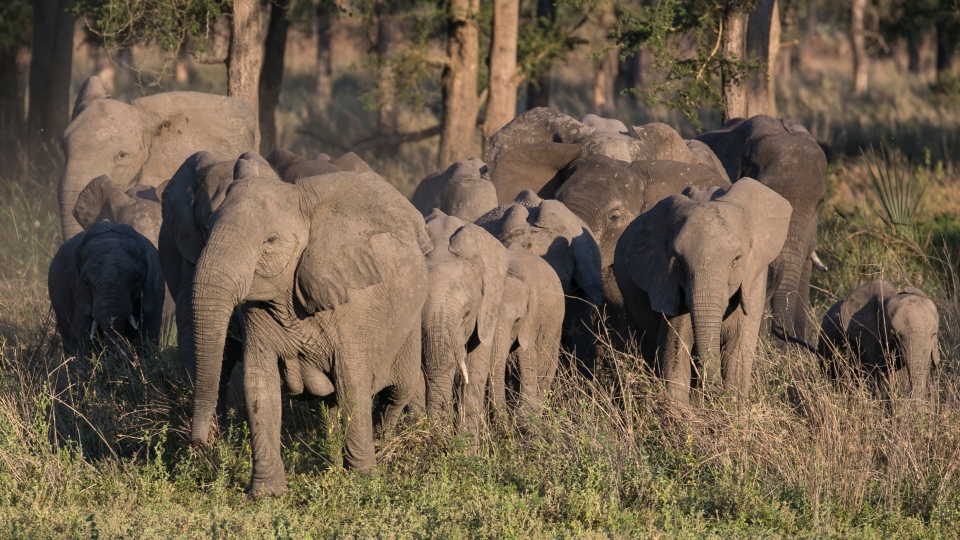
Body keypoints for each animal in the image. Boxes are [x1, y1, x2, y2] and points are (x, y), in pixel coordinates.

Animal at [48, 221, 165, 357]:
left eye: (136, 279)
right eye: (86, 281)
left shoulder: (154, 289)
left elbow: (148, 333)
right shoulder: (80, 291)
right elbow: (80, 332)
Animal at [189, 153, 432, 496]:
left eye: (270, 241)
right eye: (207, 228)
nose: (200, 445)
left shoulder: (355, 310)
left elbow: (352, 383)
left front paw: (362, 483)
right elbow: (259, 385)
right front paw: (266, 495)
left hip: (409, 322)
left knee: (399, 389)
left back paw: (382, 445)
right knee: (331, 404)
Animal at [613, 179, 792, 404]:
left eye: (736, 260)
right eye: (678, 263)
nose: (713, 389)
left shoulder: (753, 282)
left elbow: (737, 360)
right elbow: (675, 357)